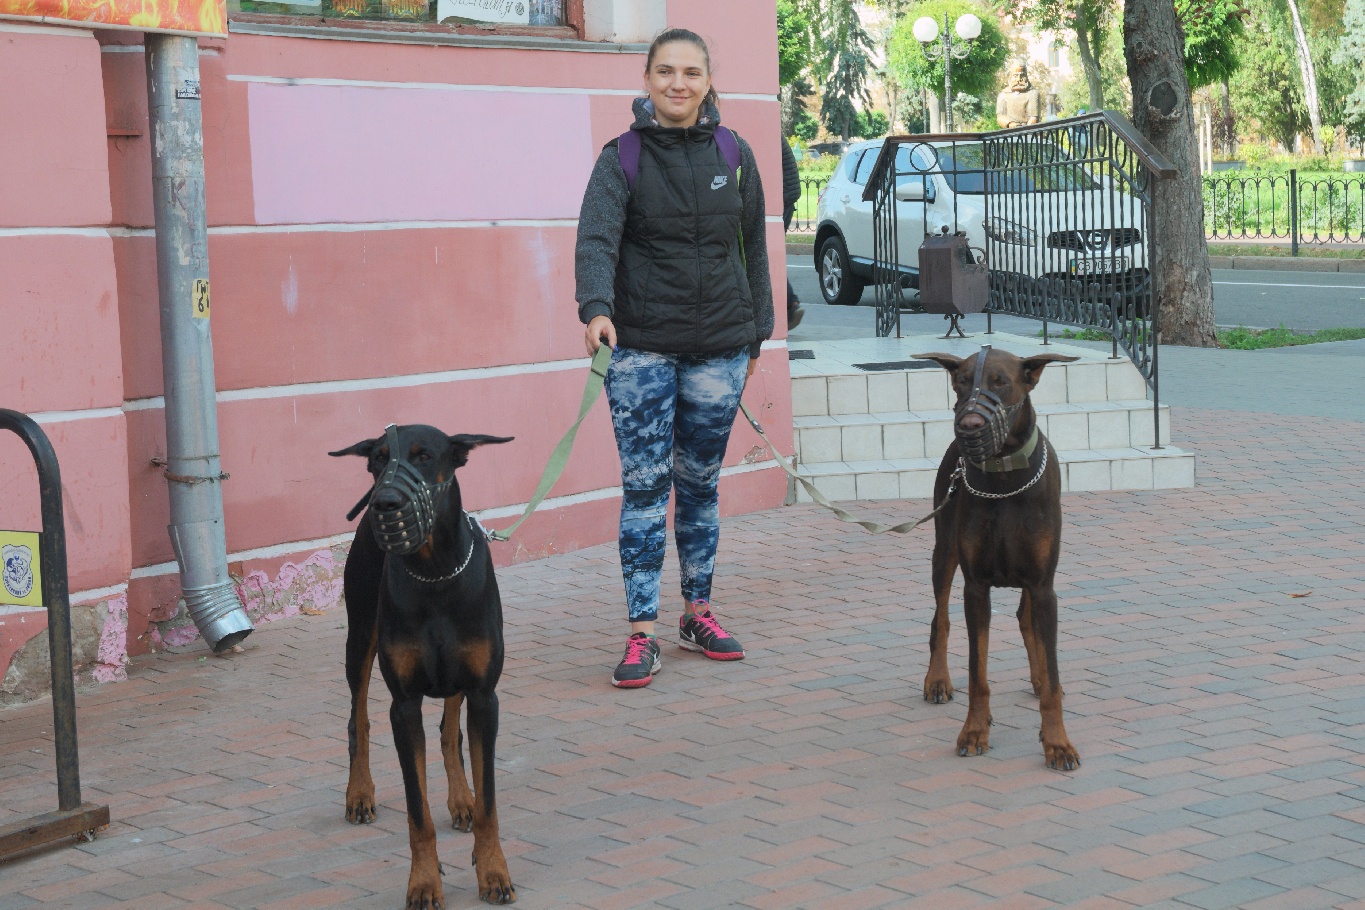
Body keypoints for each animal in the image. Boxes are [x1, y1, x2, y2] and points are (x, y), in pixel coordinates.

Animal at [330, 424, 517, 907]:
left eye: (424, 456)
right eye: (378, 458)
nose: (384, 502)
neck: (434, 572)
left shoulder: (484, 696)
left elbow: (489, 802)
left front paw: (493, 871)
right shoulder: (404, 704)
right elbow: (418, 814)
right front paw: (424, 883)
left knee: (450, 733)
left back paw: (461, 799)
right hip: (360, 636)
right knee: (358, 718)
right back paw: (360, 794)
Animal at [914, 346, 1081, 771]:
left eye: (1001, 382)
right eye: (961, 380)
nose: (970, 424)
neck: (1005, 476)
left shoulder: (1043, 584)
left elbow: (1052, 675)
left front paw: (1057, 743)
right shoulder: (976, 586)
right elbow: (978, 673)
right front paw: (974, 731)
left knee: (1027, 621)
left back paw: (1037, 680)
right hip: (944, 551)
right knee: (940, 618)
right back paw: (937, 680)